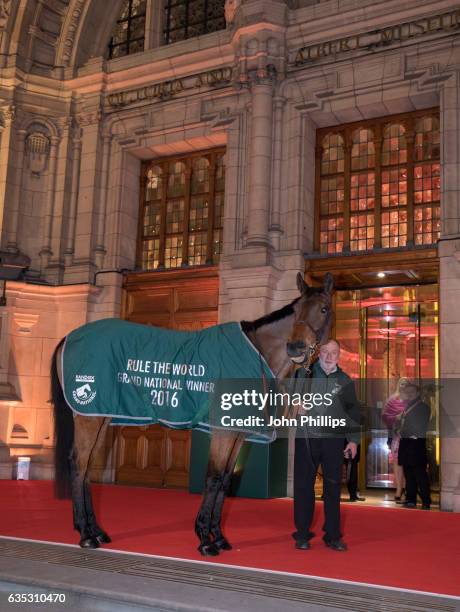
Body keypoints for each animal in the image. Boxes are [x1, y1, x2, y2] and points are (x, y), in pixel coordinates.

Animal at [51, 272, 334, 556]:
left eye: (323, 309)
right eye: (297, 309)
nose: (296, 347)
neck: (256, 353)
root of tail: (70, 337)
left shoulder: (237, 433)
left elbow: (225, 480)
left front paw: (219, 537)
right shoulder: (223, 432)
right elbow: (214, 477)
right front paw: (205, 540)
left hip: (101, 415)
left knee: (88, 466)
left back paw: (96, 531)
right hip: (89, 417)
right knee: (79, 464)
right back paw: (86, 535)